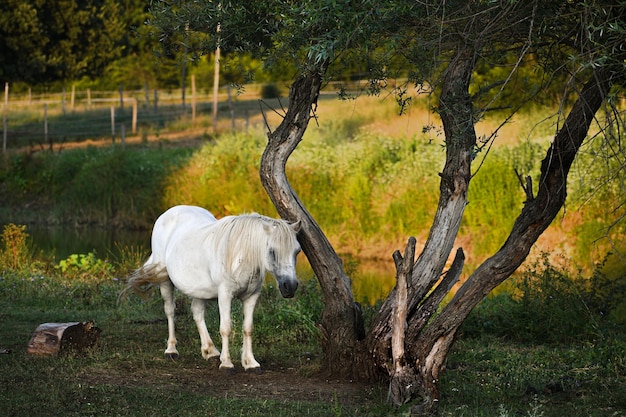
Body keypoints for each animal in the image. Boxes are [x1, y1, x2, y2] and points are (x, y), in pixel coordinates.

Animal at [123, 205, 302, 370]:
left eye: (297, 251)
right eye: (272, 251)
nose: (290, 286)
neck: (240, 255)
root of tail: (168, 213)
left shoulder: (251, 296)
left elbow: (248, 328)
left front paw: (250, 363)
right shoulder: (225, 295)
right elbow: (226, 328)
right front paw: (227, 364)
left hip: (197, 289)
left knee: (197, 312)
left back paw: (210, 351)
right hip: (165, 280)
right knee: (170, 311)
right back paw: (171, 350)